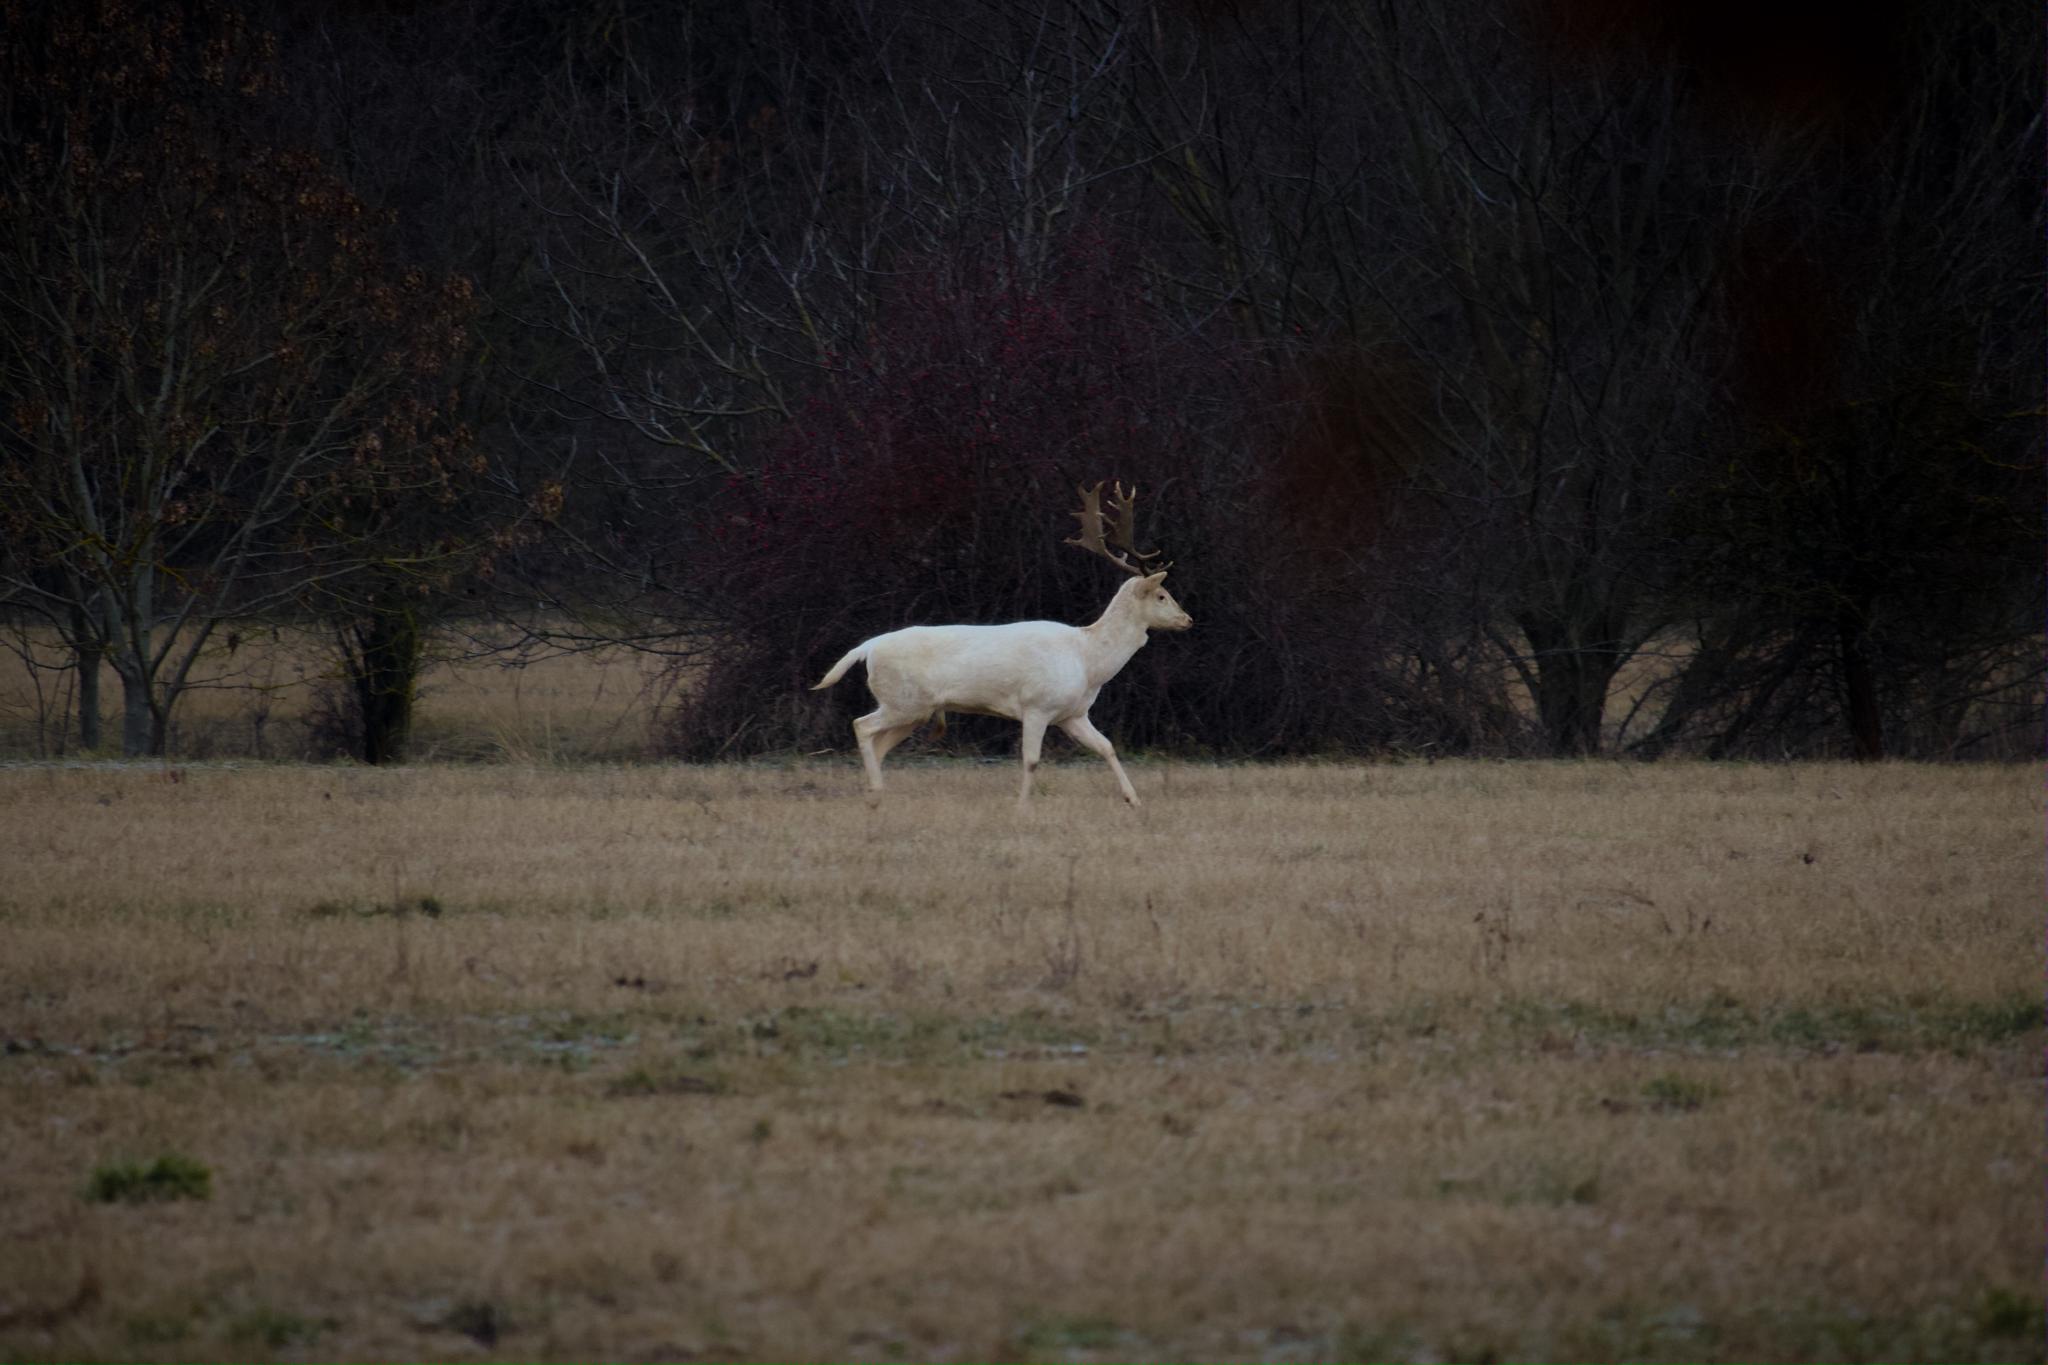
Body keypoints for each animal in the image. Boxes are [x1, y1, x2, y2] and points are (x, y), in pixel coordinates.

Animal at [811, 482, 1192, 806]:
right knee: (862, 725)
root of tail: (867, 648)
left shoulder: (1072, 713)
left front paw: (1134, 800)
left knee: (879, 743)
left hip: (915, 710)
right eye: (1161, 594)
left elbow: (1107, 747)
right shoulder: (1037, 704)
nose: (1187, 619)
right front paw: (1021, 807)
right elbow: (1031, 760)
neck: (1087, 660)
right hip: (903, 700)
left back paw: (875, 796)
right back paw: (874, 792)